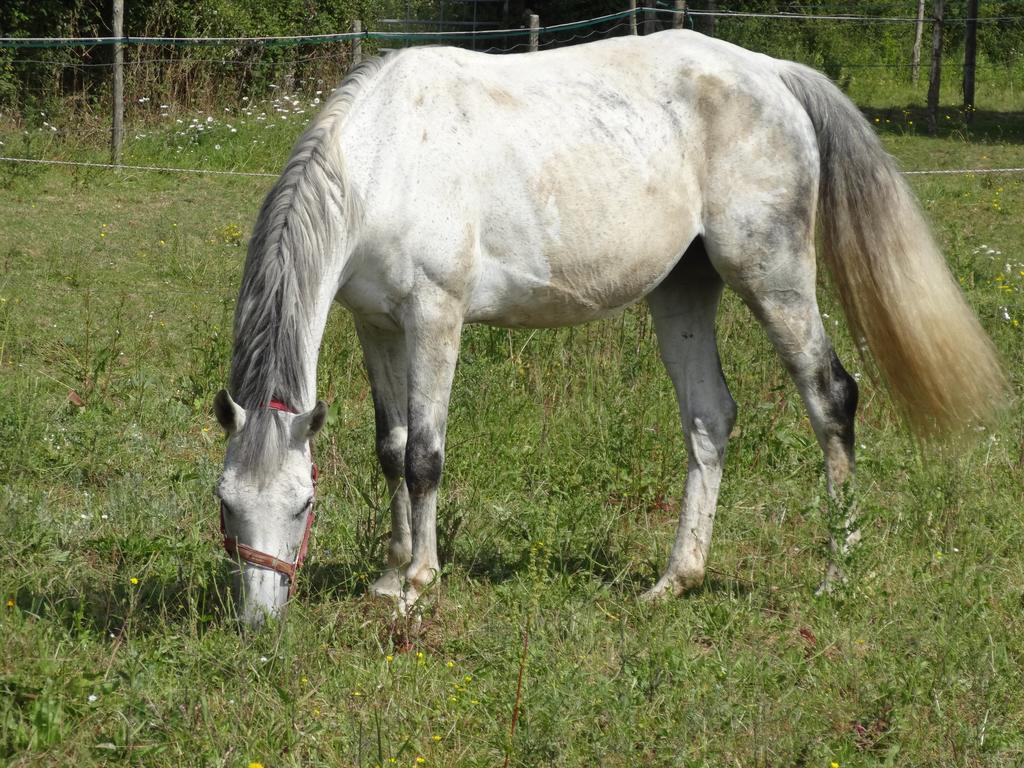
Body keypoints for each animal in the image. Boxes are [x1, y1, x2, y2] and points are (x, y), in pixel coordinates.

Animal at [211, 31, 1003, 630]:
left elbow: (424, 457)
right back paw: (675, 579)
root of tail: (773, 73)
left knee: (831, 398)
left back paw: (837, 572)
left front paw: (418, 584)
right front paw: (388, 573)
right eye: (225, 503)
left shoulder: (435, 318)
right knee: (709, 418)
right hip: (684, 291)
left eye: (301, 504)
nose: (258, 621)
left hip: (773, 276)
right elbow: (389, 448)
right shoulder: (375, 323)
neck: (387, 157)